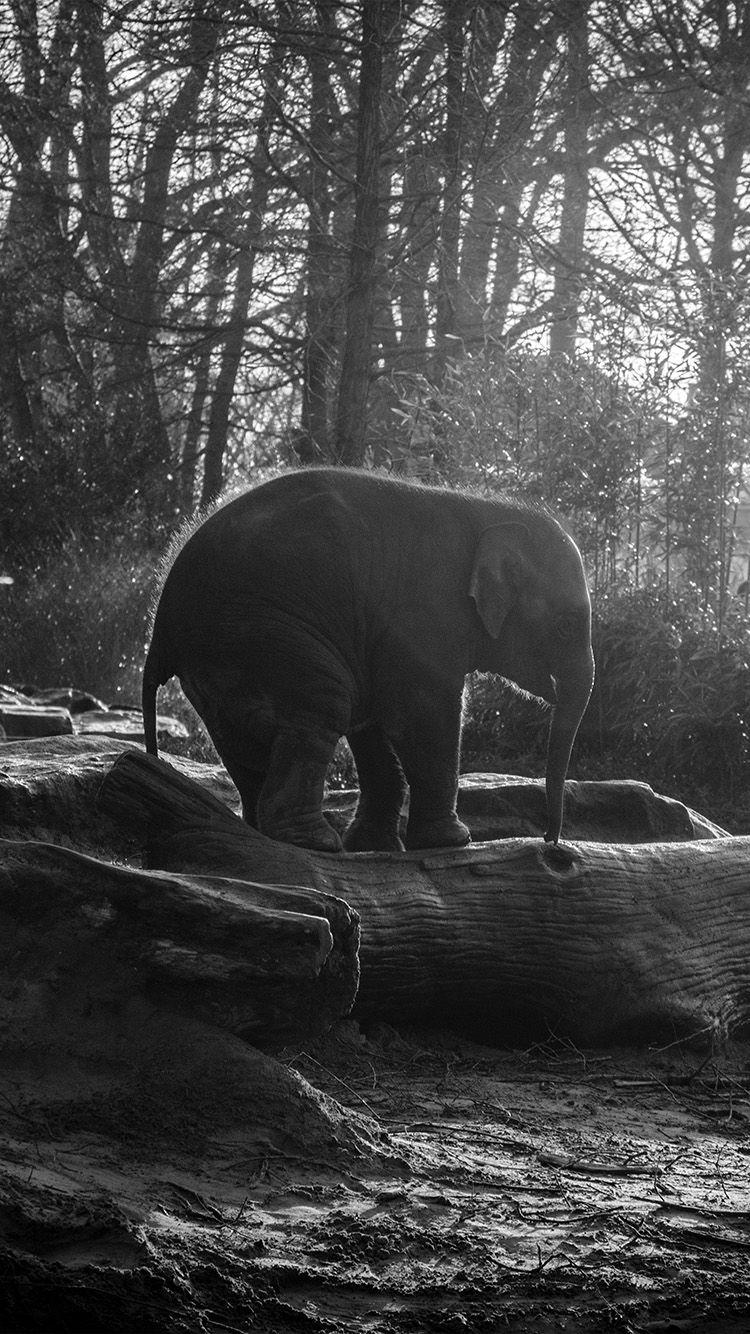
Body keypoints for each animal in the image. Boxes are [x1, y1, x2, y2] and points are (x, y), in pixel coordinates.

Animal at [142, 467, 594, 853]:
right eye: (566, 626)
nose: (550, 840)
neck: (492, 512)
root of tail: (160, 626)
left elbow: (376, 724)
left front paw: (376, 845)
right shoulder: (423, 612)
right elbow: (422, 714)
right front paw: (452, 841)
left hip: (218, 659)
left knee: (239, 740)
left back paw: (264, 830)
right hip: (258, 632)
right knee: (324, 703)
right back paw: (315, 842)